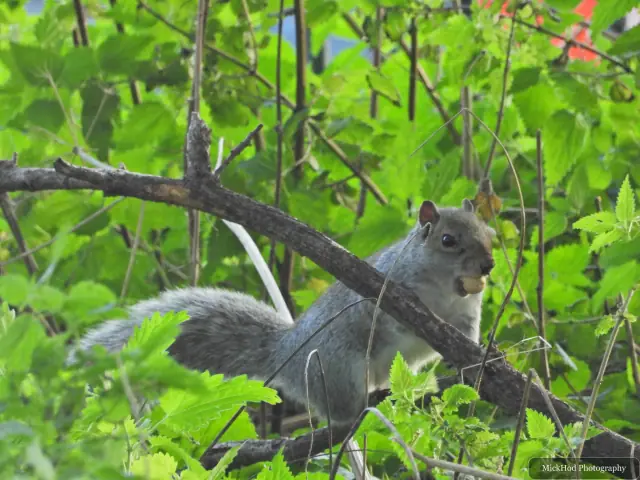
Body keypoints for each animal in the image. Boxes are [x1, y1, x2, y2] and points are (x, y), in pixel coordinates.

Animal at [69, 199, 495, 426]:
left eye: (489, 235)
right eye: (448, 240)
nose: (488, 266)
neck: (445, 290)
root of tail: (286, 352)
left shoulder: (466, 314)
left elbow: (468, 336)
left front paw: (479, 358)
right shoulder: (384, 293)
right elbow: (391, 322)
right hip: (337, 369)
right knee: (341, 410)